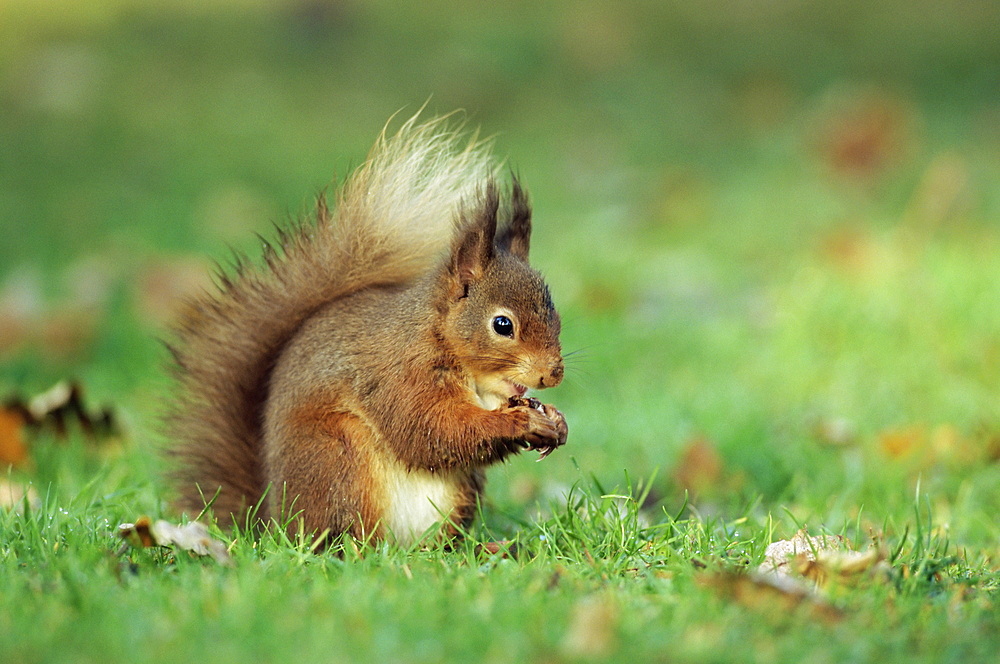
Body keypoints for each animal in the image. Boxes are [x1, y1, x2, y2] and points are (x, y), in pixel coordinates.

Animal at [168, 115, 568, 544]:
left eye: (556, 314)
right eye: (502, 324)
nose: (553, 374)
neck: (439, 336)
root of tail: (274, 523)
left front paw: (555, 421)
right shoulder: (400, 373)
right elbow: (432, 429)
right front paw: (521, 422)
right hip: (340, 462)